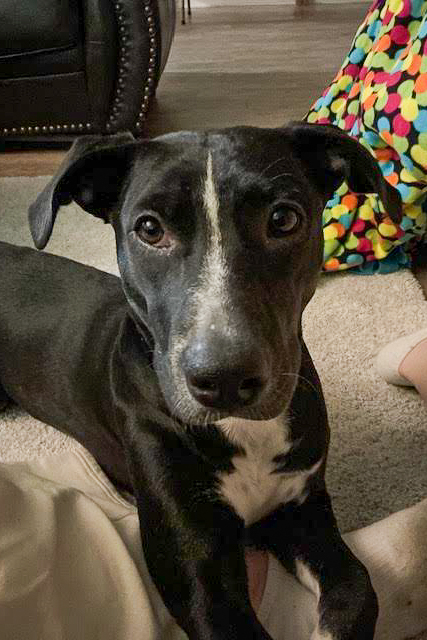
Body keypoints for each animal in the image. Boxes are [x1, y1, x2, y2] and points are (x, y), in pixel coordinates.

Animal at [0, 123, 402, 639]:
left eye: (284, 219)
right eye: (149, 228)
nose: (225, 377)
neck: (245, 433)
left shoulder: (301, 507)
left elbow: (358, 587)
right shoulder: (195, 562)